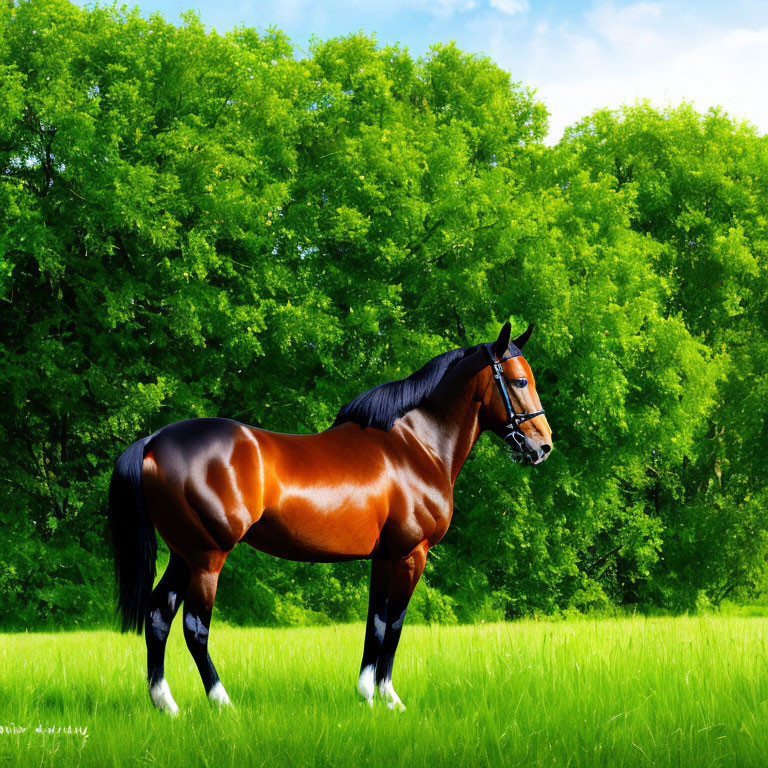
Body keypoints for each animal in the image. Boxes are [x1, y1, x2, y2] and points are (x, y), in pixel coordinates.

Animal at [106, 320, 552, 712]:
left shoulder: (384, 557)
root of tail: (154, 440)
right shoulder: (412, 554)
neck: (414, 447)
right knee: (194, 628)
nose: (542, 446)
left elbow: (376, 623)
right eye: (519, 381)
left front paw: (367, 696)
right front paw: (391, 699)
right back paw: (221, 703)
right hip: (206, 557)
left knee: (158, 617)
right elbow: (395, 623)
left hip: (183, 555)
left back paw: (166, 705)